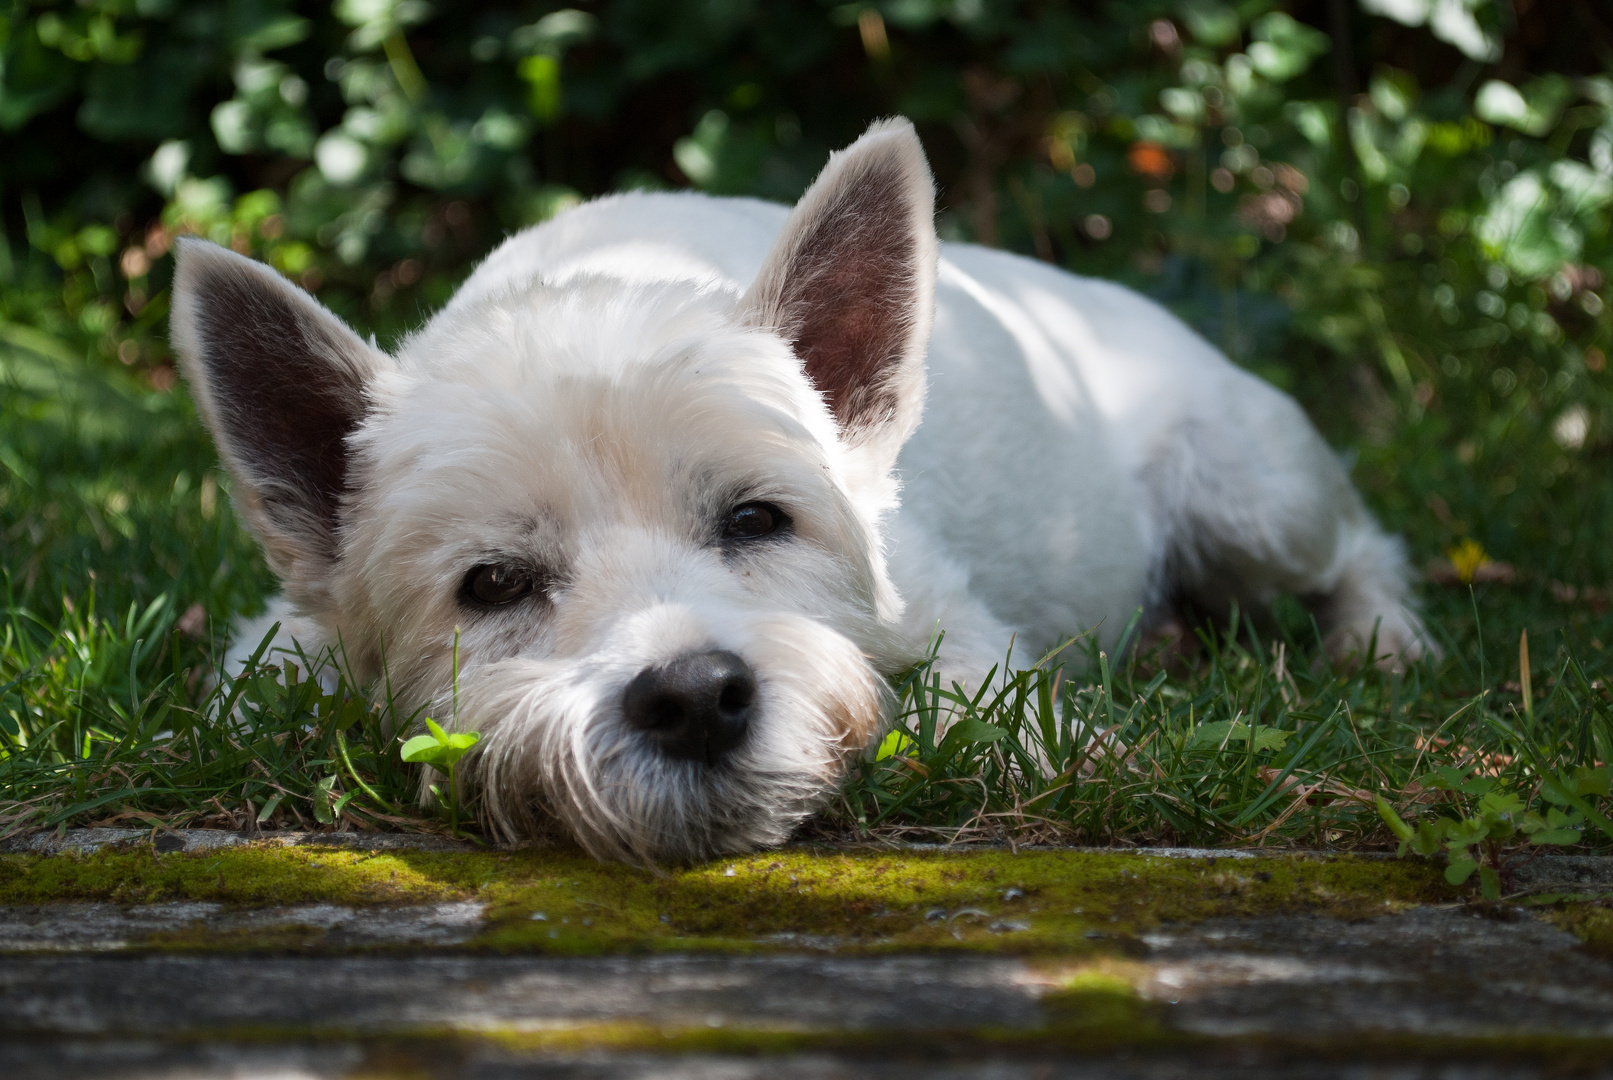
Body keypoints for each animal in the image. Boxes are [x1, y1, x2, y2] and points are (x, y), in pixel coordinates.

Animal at [166, 118, 1425, 864]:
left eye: (755, 519)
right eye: (491, 584)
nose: (691, 698)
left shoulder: (951, 620)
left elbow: (986, 713)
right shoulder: (274, 651)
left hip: (1252, 493)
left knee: (1361, 545)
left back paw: (1380, 642)